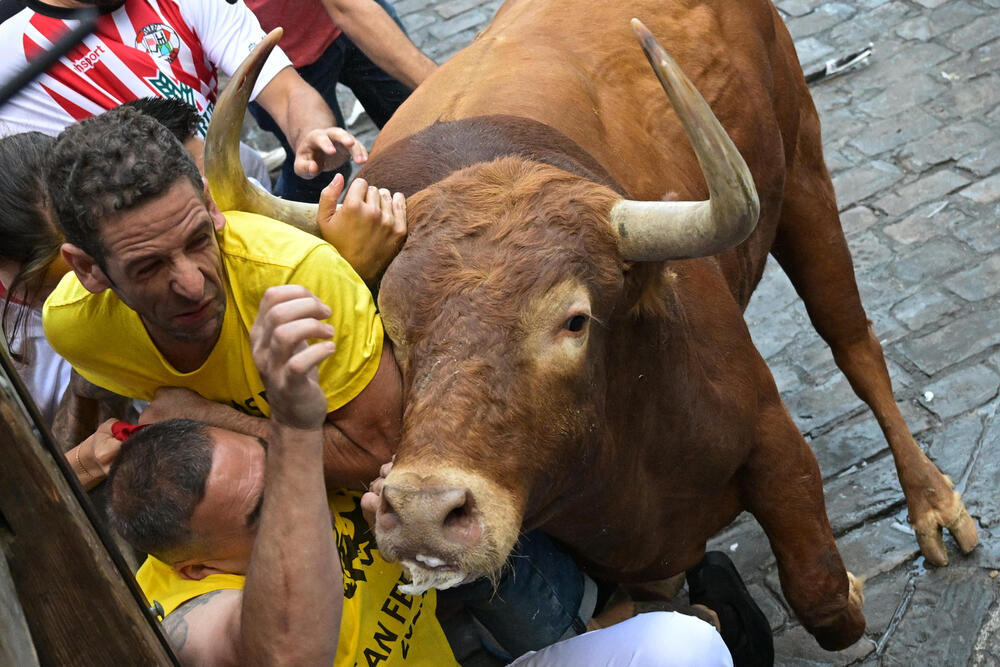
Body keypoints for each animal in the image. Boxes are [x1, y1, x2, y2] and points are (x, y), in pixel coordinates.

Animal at [209, 0, 976, 648]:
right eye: (389, 329)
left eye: (574, 320)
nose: (426, 512)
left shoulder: (773, 439)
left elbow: (823, 598)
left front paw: (851, 586)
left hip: (806, 170)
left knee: (854, 342)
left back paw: (933, 503)